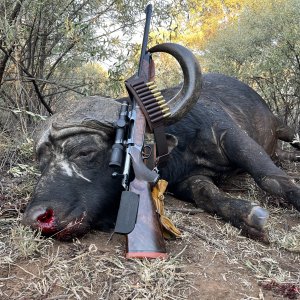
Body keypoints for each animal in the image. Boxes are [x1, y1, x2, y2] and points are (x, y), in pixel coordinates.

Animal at [22, 43, 300, 241]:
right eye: (41, 165)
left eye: (84, 152)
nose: (36, 218)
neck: (180, 147)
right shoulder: (189, 180)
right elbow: (207, 196)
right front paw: (247, 217)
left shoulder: (229, 133)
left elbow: (270, 178)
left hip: (282, 127)